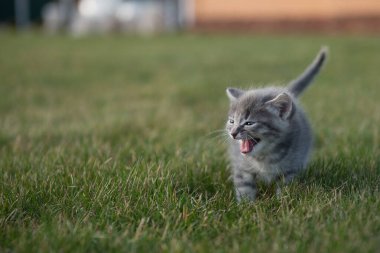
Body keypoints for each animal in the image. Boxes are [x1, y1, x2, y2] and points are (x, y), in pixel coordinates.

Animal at [226, 47, 326, 202]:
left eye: (249, 123)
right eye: (232, 121)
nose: (233, 133)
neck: (264, 158)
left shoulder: (290, 169)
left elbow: (285, 189)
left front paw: (282, 203)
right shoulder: (241, 168)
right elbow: (244, 188)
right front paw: (247, 205)